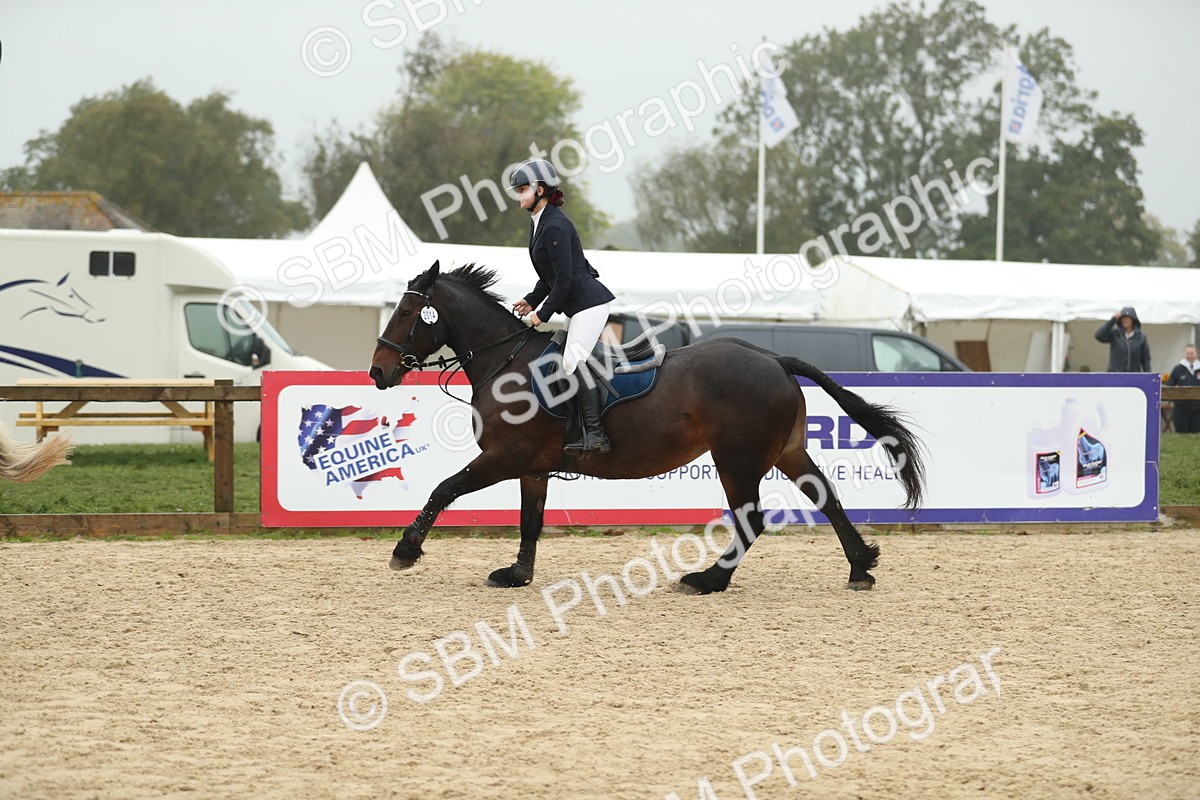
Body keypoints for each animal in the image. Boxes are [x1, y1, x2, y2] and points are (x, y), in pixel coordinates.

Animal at [370, 261, 926, 594]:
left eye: (408, 311)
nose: (377, 372)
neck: (505, 362)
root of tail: (772, 357)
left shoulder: (504, 457)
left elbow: (444, 489)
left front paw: (405, 551)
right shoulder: (533, 466)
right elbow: (530, 520)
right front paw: (518, 575)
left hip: (737, 459)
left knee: (752, 518)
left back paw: (707, 580)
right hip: (784, 451)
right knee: (826, 497)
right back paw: (860, 566)